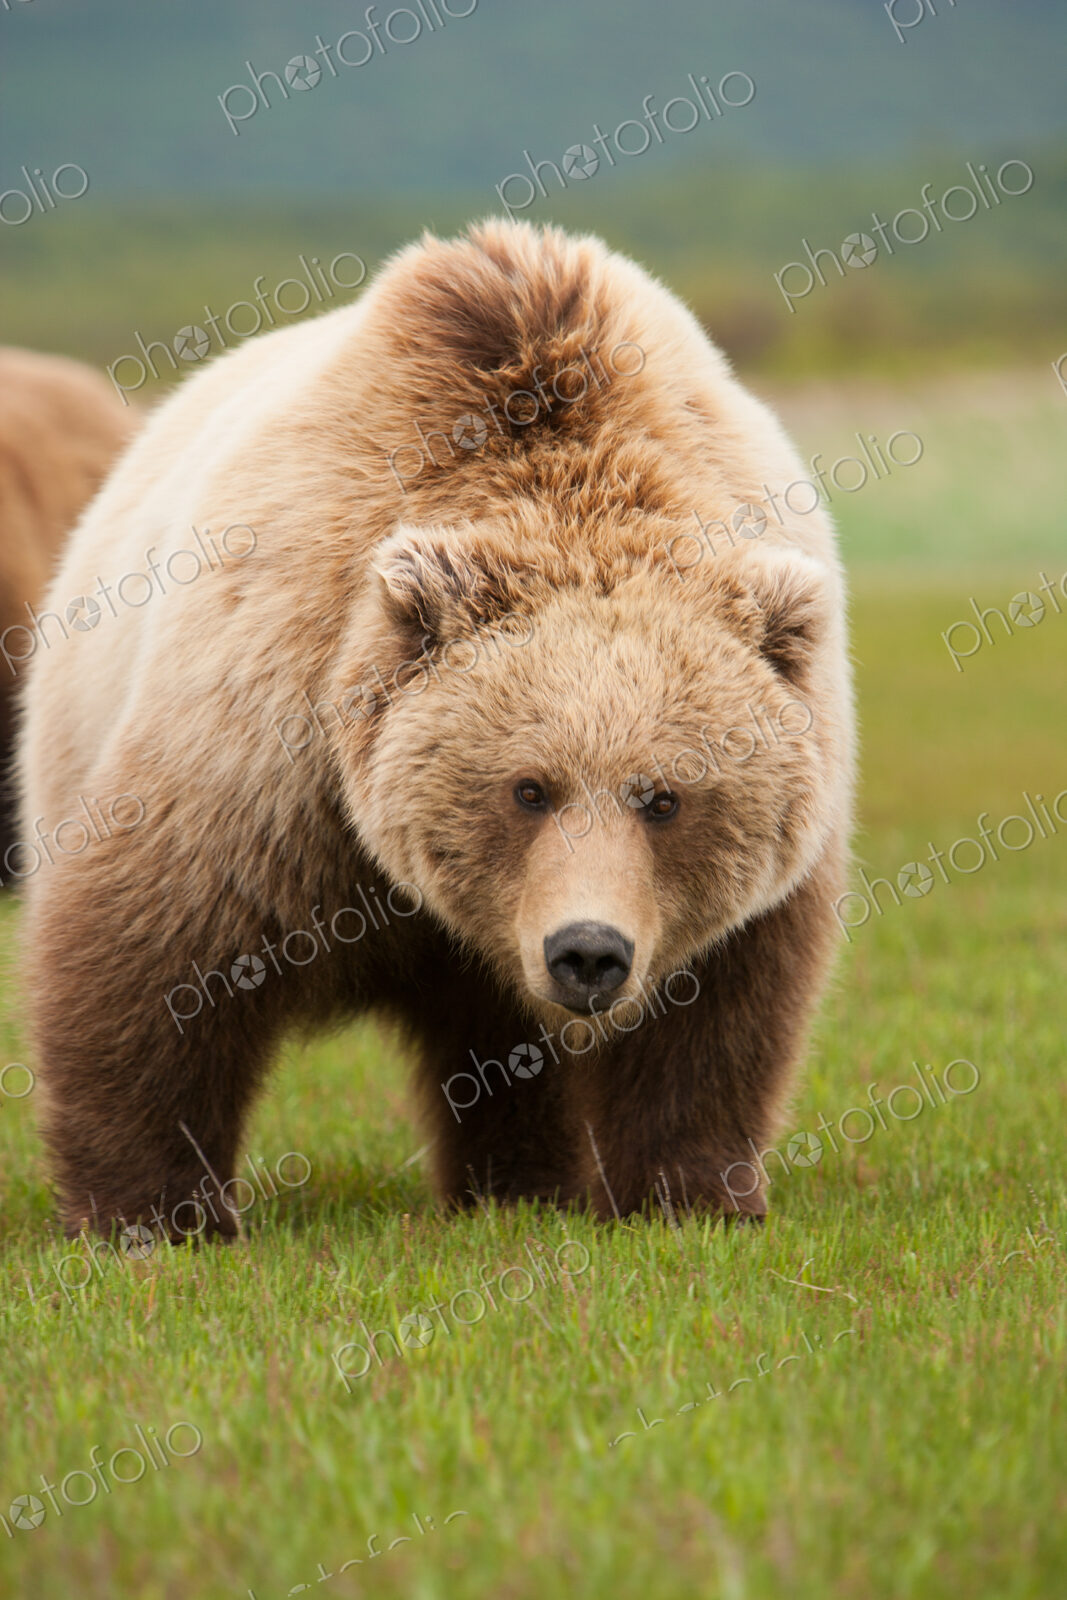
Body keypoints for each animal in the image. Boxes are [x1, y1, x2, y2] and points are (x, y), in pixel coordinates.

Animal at [17, 220, 853, 1241]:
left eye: (664, 798)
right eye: (528, 787)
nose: (587, 951)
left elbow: (717, 1014)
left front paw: (688, 1196)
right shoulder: (278, 745)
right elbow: (160, 950)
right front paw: (150, 1216)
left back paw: (521, 1182)